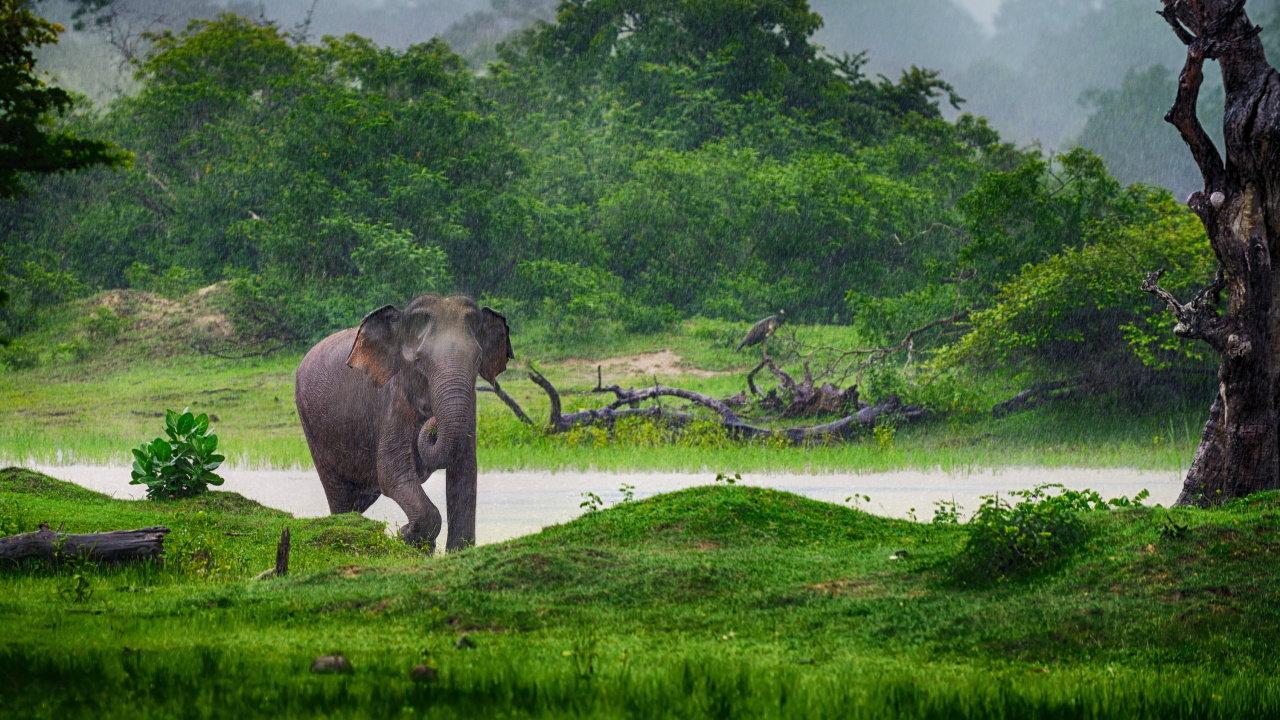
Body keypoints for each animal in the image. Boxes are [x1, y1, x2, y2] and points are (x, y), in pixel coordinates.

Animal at [295, 294, 513, 552]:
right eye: (419, 361)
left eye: (478, 359)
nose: (432, 421)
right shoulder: (392, 400)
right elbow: (391, 473)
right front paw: (405, 535)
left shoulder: (471, 405)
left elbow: (465, 473)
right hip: (311, 425)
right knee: (340, 496)